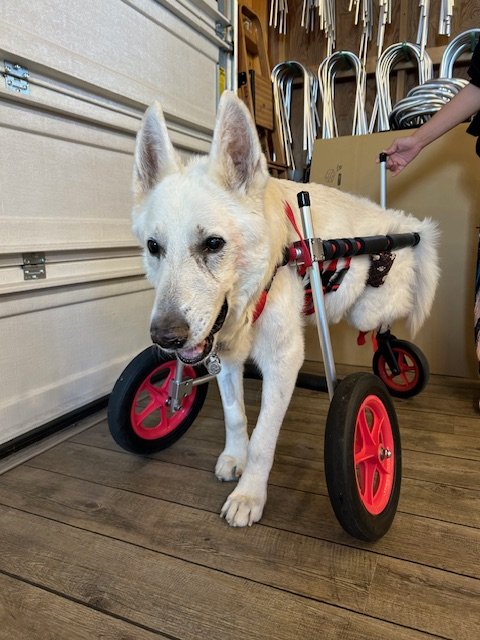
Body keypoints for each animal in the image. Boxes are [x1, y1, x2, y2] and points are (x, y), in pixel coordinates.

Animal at [131, 92, 438, 528]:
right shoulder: (224, 358)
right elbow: (235, 416)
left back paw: (394, 359)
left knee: (383, 328)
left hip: (369, 307)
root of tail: (400, 221)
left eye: (213, 243)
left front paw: (248, 496)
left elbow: (263, 437)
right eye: (154, 247)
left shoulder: (283, 361)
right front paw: (234, 458)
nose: (165, 338)